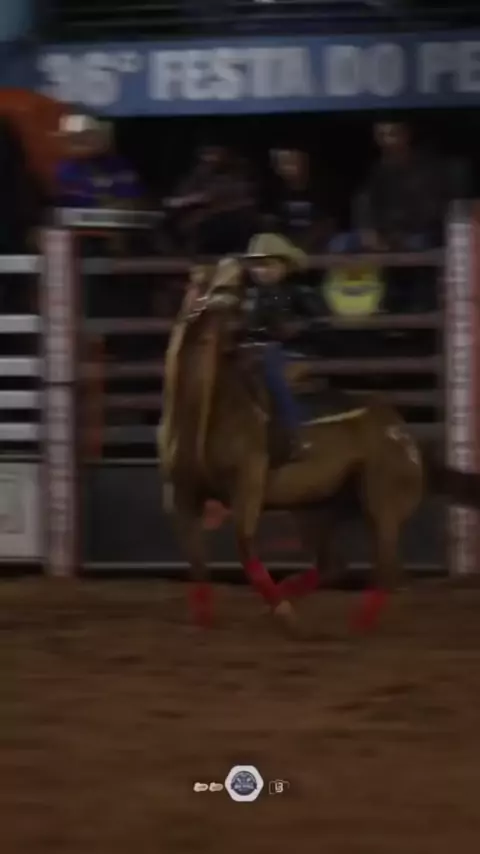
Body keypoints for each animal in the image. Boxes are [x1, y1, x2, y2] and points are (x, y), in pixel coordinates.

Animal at [158, 261, 480, 635]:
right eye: (209, 279)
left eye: (235, 281)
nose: (237, 276)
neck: (203, 411)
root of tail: (405, 435)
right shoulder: (182, 496)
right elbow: (196, 562)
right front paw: (204, 619)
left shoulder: (248, 482)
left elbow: (244, 543)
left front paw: (284, 612)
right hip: (317, 509)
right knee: (334, 564)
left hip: (381, 505)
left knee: (387, 569)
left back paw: (357, 626)